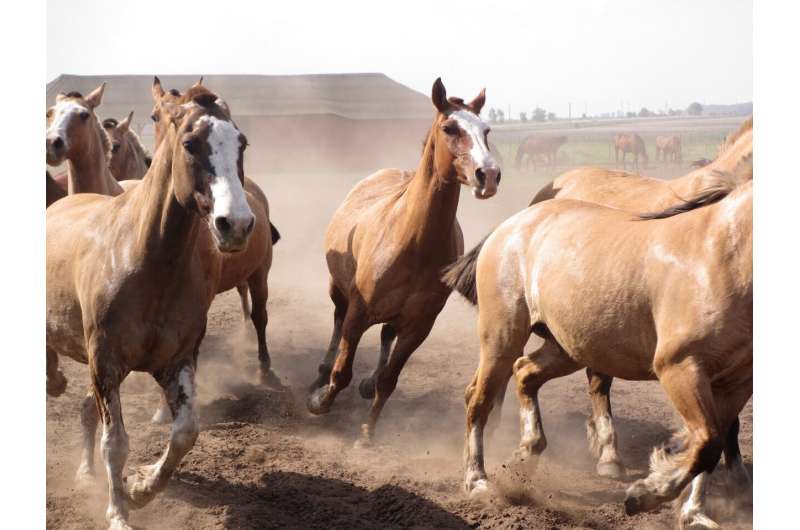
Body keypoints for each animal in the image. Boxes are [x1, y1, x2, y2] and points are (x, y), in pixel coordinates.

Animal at [46, 87, 256, 529]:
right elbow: (115, 442)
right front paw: (118, 513)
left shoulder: (174, 361)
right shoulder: (105, 364)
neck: (145, 259)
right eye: (190, 144)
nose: (236, 224)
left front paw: (140, 486)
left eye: (242, 143)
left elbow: (185, 432)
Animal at [306, 78, 501, 447]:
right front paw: (320, 401)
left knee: (385, 336)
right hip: (338, 290)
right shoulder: (358, 312)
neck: (413, 242)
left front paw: (367, 433)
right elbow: (343, 369)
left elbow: (389, 381)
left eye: (486, 130)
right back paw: (320, 374)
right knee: (336, 322)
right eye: (449, 128)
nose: (489, 175)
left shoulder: (418, 327)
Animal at [444, 172, 752, 529]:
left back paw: (526, 452)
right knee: (478, 399)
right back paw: (477, 481)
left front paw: (693, 514)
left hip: (569, 347)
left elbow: (713, 443)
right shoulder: (679, 367)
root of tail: (511, 224)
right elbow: (706, 441)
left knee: (524, 373)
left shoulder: (735, 383)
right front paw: (643, 495)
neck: (720, 255)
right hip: (501, 338)